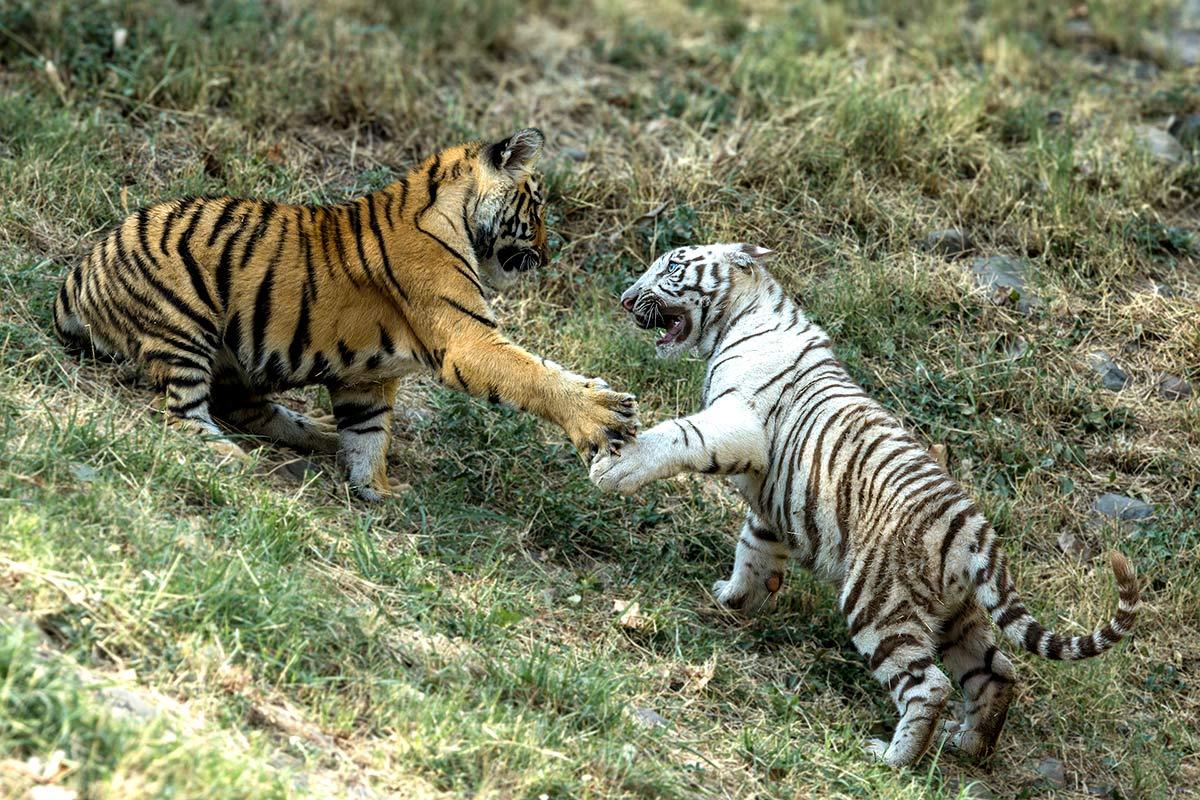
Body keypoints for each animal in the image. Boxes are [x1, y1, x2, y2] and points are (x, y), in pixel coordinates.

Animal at [53, 128, 638, 501]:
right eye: (536, 207)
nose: (547, 255)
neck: (455, 214)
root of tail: (79, 270)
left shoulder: (367, 378)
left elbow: (368, 434)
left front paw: (377, 490)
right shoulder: (467, 341)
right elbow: (533, 376)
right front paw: (602, 416)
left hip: (239, 358)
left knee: (245, 408)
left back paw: (319, 434)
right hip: (182, 321)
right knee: (184, 414)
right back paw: (229, 456)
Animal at [589, 243, 1140, 766]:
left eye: (670, 268)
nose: (625, 299)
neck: (739, 318)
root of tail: (972, 526)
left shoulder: (737, 421)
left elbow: (681, 434)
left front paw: (617, 465)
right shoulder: (773, 505)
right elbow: (754, 549)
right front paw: (734, 597)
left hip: (878, 602)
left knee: (928, 686)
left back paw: (893, 759)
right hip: (956, 615)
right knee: (997, 670)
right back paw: (970, 745)